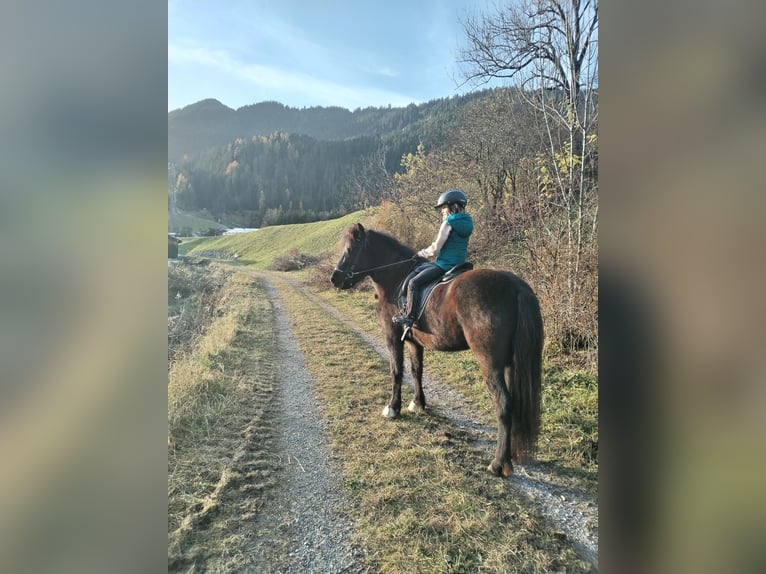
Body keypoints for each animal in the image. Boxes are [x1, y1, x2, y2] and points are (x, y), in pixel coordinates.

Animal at [332, 223, 544, 480]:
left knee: (503, 403)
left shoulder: (393, 338)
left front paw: (393, 408)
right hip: (512, 364)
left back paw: (498, 463)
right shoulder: (413, 342)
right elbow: (416, 371)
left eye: (350, 249)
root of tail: (515, 286)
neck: (397, 279)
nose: (335, 278)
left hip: (490, 362)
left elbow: (396, 372)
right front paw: (418, 404)